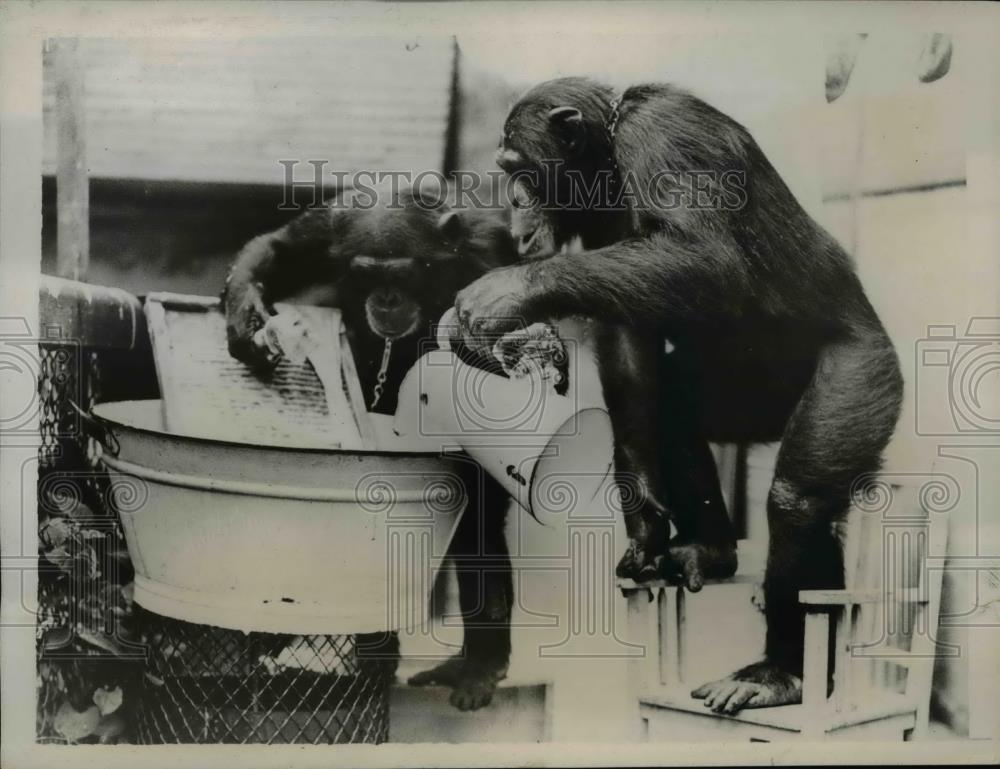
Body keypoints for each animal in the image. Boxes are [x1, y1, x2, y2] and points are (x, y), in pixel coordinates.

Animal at [224, 184, 520, 708]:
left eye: (401, 275)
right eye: (366, 276)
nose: (385, 298)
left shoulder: (490, 263)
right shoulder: (327, 227)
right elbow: (278, 248)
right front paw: (246, 320)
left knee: (477, 525)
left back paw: (476, 667)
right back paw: (374, 659)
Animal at [450, 75, 904, 712]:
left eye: (520, 170)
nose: (513, 203)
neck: (612, 153)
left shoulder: (667, 134)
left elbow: (707, 257)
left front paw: (505, 293)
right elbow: (628, 333)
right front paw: (641, 511)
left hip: (864, 373)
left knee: (798, 501)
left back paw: (778, 673)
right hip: (741, 394)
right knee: (671, 412)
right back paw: (708, 550)